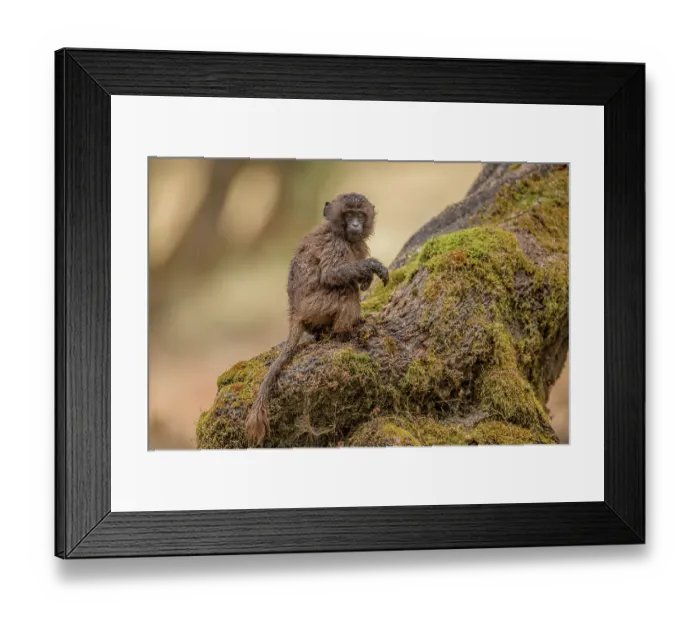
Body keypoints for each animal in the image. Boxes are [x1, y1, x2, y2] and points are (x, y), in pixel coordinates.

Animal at [245, 193, 389, 447]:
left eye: (360, 215)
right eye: (348, 214)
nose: (355, 225)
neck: (340, 233)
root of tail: (294, 312)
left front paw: (367, 277)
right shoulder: (335, 244)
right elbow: (332, 274)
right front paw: (372, 267)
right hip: (315, 307)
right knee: (345, 290)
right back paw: (344, 333)